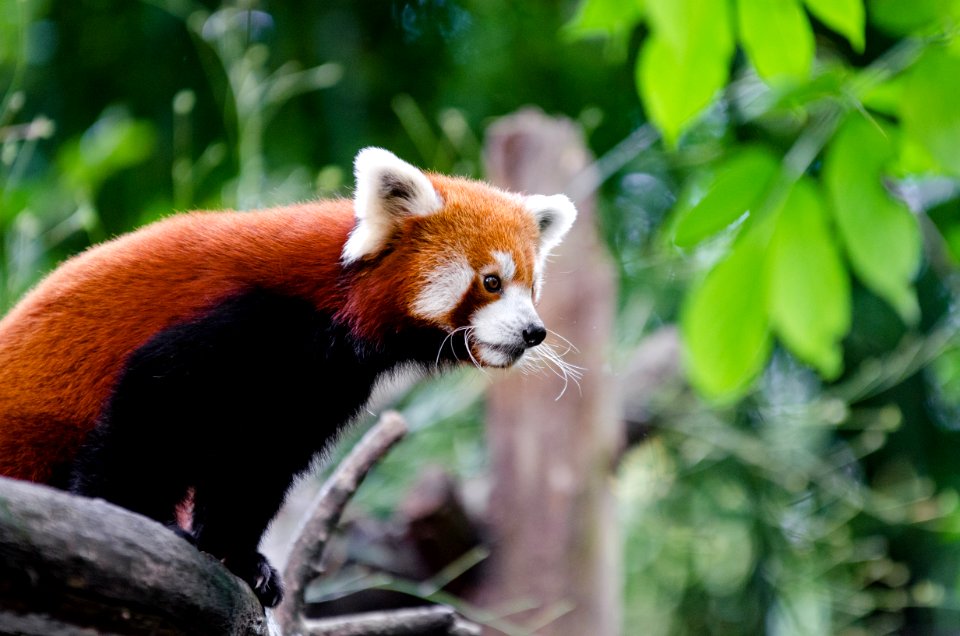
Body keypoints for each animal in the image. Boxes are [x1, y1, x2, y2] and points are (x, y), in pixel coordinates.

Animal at [0, 147, 572, 608]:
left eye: (531, 287)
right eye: (491, 282)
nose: (533, 332)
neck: (331, 304)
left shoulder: (317, 382)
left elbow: (256, 464)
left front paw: (238, 556)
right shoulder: (241, 320)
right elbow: (149, 412)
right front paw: (134, 518)